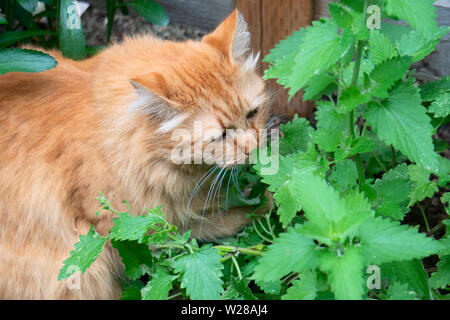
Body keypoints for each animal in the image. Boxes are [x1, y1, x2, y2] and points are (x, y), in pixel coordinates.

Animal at [0, 10, 270, 300]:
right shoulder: (126, 228)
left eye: (252, 114)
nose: (254, 147)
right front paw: (265, 203)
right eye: (219, 137)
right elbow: (215, 225)